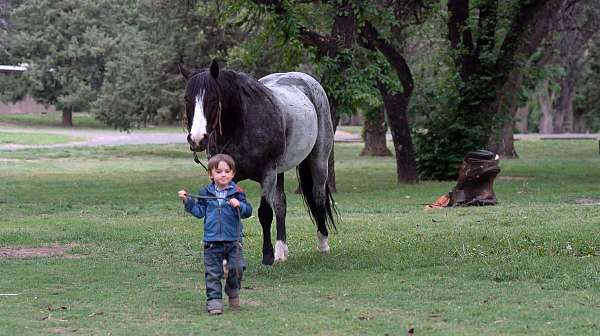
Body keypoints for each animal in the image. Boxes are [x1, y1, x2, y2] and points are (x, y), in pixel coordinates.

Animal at [178, 59, 338, 266]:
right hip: (280, 171)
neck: (241, 124)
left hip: (318, 161)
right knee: (281, 205)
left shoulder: (267, 174)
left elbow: (264, 213)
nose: (197, 139)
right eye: (187, 99)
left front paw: (267, 255)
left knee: (317, 196)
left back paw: (323, 243)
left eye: (212, 99)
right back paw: (281, 251)